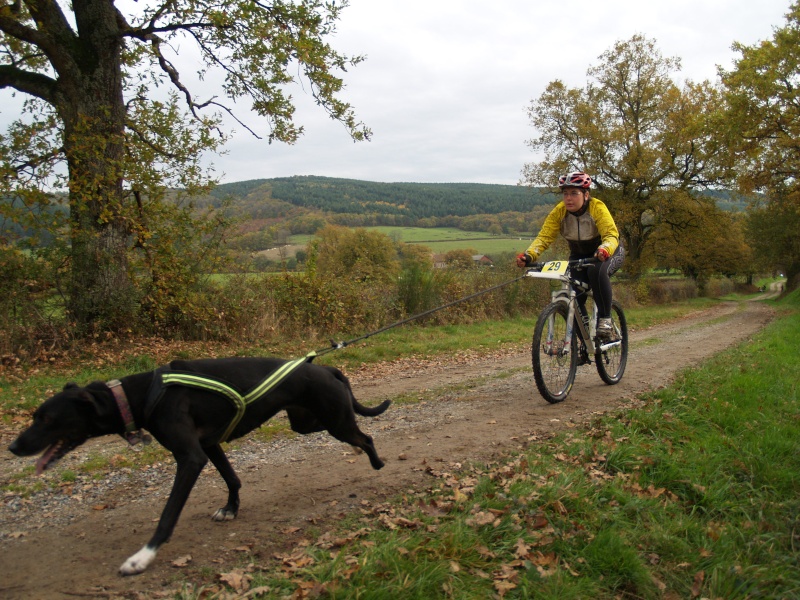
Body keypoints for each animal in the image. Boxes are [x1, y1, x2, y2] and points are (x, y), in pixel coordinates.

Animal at [7, 356, 390, 576]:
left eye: (47, 419)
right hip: (308, 422)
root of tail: (324, 367)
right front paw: (231, 508)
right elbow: (232, 478)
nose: (13, 446)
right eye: (35, 416)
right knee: (357, 433)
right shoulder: (209, 445)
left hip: (334, 421)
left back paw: (377, 462)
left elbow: (167, 515)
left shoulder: (190, 457)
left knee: (367, 436)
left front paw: (142, 557)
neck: (138, 394)